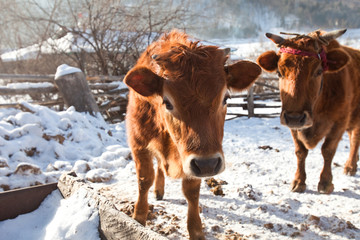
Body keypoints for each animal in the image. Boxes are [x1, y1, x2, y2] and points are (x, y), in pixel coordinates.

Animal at [124, 30, 262, 240]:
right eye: (167, 102)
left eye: (226, 98)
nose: (208, 164)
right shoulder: (138, 144)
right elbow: (144, 180)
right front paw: (138, 219)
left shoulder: (193, 161)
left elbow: (191, 193)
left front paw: (196, 231)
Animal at [256, 29, 360, 195]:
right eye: (279, 72)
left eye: (318, 71)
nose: (295, 117)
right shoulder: (292, 124)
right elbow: (300, 152)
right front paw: (299, 181)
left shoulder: (339, 123)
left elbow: (328, 150)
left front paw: (325, 182)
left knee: (355, 138)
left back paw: (350, 166)